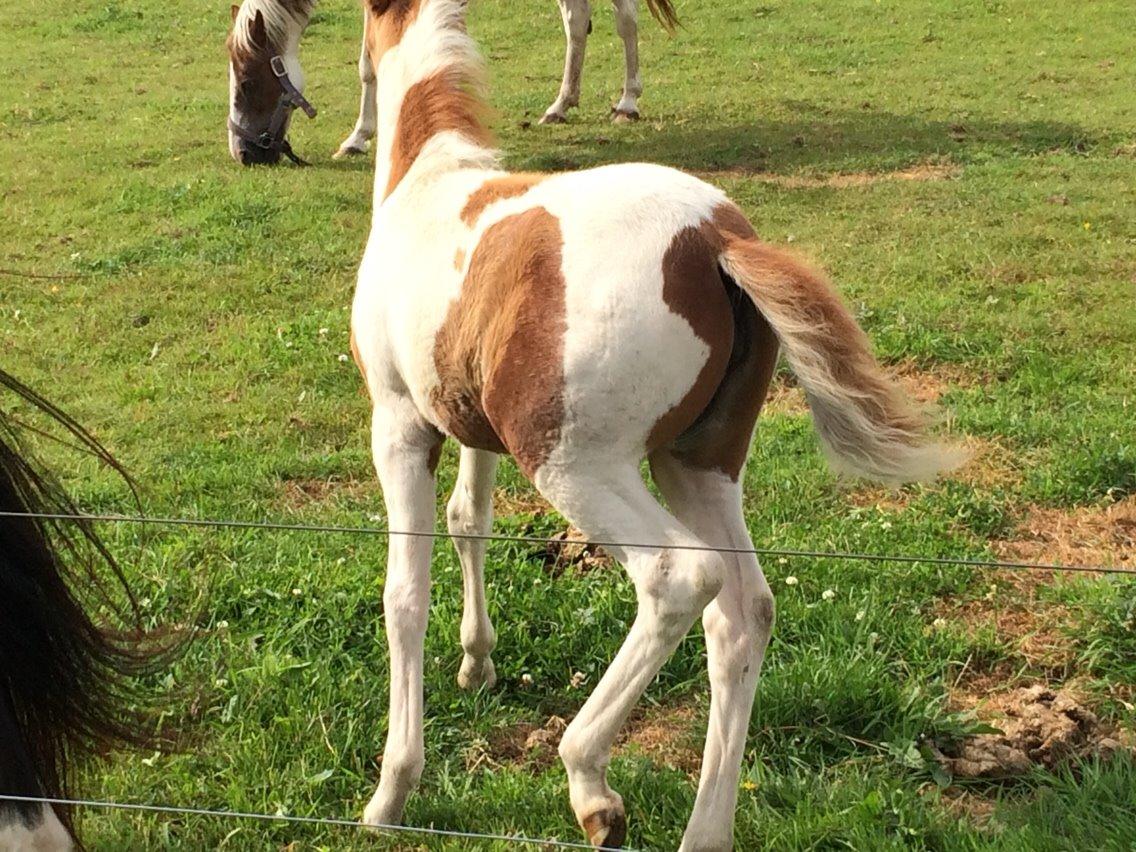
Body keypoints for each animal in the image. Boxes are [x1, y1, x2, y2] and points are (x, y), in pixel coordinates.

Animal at [349, 0, 963, 849]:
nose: (352, 119)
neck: (427, 182)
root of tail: (714, 241)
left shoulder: (401, 427)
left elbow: (404, 596)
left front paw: (392, 790)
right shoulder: (471, 428)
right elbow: (469, 521)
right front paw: (478, 664)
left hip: (577, 467)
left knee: (682, 579)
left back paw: (589, 778)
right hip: (696, 462)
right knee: (743, 613)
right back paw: (703, 830)